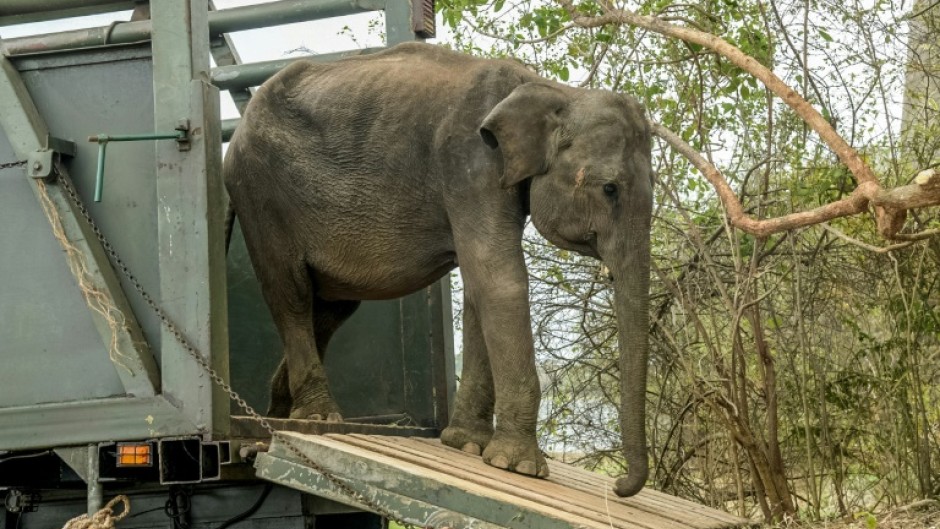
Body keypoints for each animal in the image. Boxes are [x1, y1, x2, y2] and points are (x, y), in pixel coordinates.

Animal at [223, 42, 653, 497]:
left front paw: (467, 445)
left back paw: (280, 416)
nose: (619, 486)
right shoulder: (468, 165)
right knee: (291, 293)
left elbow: (480, 287)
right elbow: (499, 279)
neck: (555, 91)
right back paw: (319, 419)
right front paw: (520, 467)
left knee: (330, 308)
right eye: (610, 189)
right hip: (260, 193)